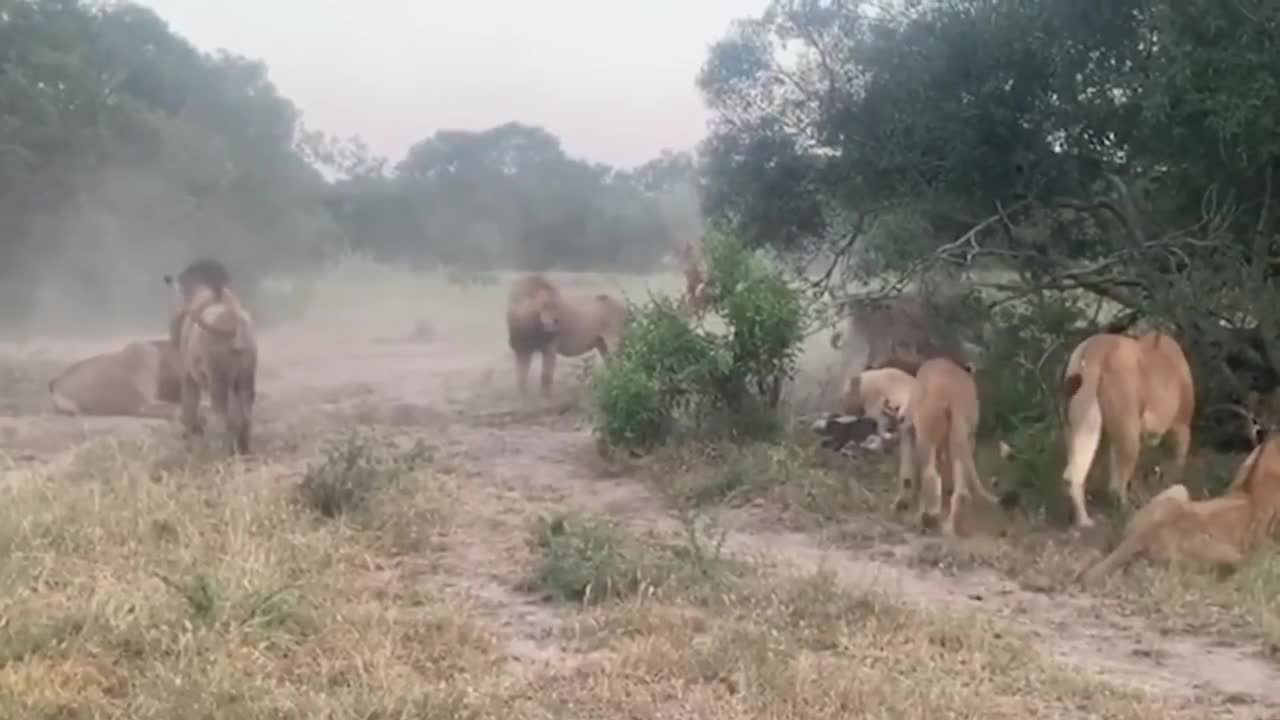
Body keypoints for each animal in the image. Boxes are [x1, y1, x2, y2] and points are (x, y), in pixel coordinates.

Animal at [162, 257, 257, 450]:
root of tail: (233, 321)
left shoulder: (188, 374)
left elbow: (189, 407)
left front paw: (190, 440)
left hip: (217, 381)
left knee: (225, 419)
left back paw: (224, 450)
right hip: (245, 378)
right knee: (245, 418)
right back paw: (244, 449)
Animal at [1054, 330, 1192, 527]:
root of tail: (1092, 350)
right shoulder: (1181, 428)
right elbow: (1175, 465)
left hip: (1082, 426)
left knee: (1075, 474)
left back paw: (1082, 518)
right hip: (1127, 436)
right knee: (1114, 485)